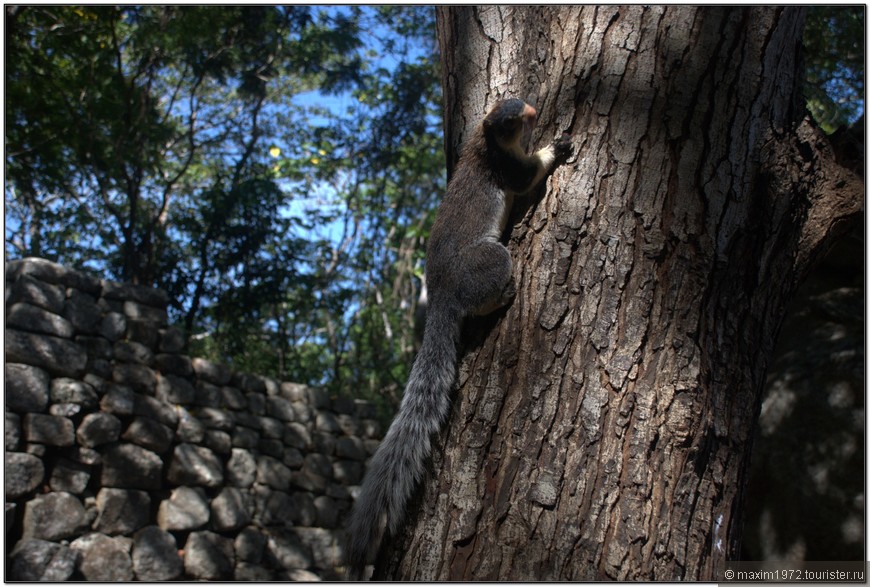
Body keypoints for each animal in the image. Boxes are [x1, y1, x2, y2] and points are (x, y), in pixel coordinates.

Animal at [344, 99, 576, 580]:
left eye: (517, 101)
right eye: (510, 120)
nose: (532, 111)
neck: (483, 146)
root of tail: (442, 297)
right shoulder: (509, 169)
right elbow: (529, 173)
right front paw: (555, 146)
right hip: (488, 262)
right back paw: (503, 297)